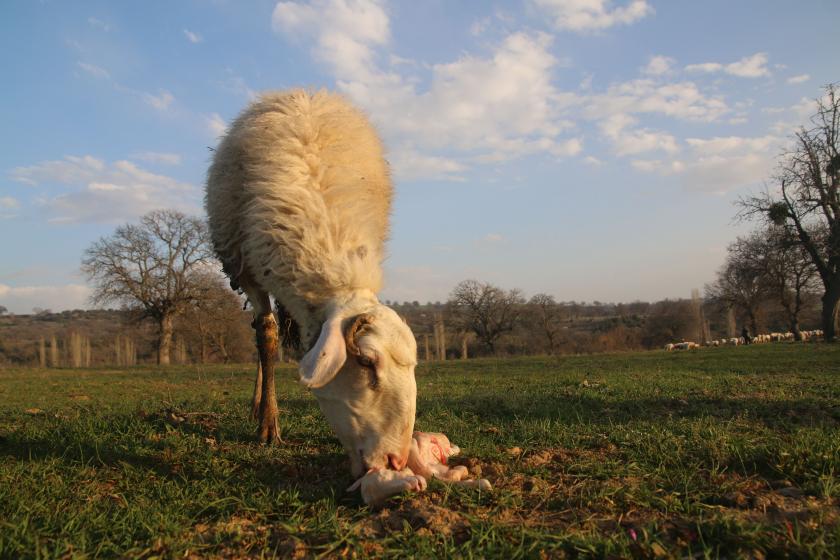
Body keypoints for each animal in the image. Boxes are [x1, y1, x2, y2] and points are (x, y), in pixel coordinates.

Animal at [206, 88, 420, 482]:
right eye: (365, 361)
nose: (397, 460)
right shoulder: (248, 268)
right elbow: (267, 337)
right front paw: (269, 426)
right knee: (261, 335)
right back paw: (259, 404)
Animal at [348, 430, 492, 506]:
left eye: (384, 476)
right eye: (392, 497)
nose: (417, 486)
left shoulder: (412, 446)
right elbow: (446, 480)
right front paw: (479, 483)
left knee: (453, 449)